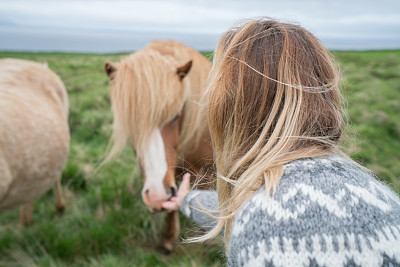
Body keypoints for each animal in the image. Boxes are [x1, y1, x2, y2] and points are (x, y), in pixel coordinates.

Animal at [104, 40, 214, 254]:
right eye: (132, 125)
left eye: (175, 115)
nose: (156, 197)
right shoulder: (173, 175)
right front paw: (168, 238)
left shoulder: (204, 172)